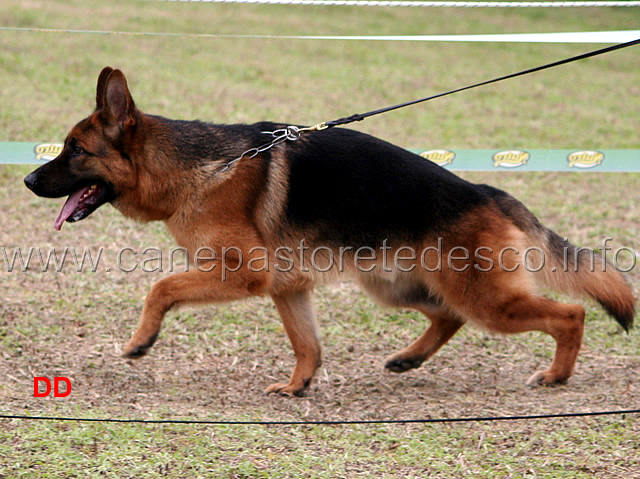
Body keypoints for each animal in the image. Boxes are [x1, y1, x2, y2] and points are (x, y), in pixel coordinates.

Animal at [23, 67, 636, 398]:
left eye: (75, 150)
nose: (27, 179)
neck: (199, 167)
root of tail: (489, 192)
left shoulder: (243, 276)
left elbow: (159, 288)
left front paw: (141, 340)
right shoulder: (288, 288)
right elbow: (308, 344)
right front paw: (298, 387)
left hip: (486, 299)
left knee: (570, 314)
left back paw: (556, 376)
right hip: (396, 287)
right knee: (448, 316)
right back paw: (408, 359)